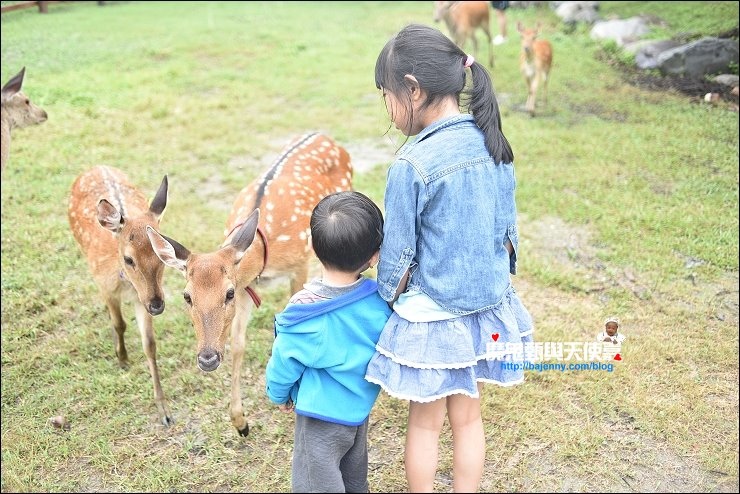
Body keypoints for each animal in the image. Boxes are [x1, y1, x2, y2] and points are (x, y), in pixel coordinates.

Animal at [67, 167, 175, 428]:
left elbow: (150, 344)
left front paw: (164, 411)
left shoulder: (141, 299)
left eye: (164, 253)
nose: (157, 305)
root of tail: (95, 166)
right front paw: (122, 359)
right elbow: (119, 323)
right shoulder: (105, 287)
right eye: (129, 259)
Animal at [147, 132, 352, 436]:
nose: (207, 358)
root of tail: (324, 134)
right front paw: (240, 422)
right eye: (187, 296)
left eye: (227, 293)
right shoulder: (247, 287)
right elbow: (238, 343)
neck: (264, 257)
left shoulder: (298, 266)